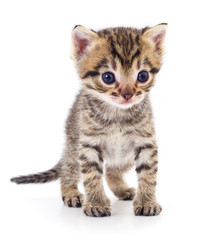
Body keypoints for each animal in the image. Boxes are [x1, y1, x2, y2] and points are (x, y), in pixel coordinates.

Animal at [10, 24, 167, 218]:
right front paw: (96, 204)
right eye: (108, 77)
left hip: (124, 157)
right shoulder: (88, 145)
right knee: (67, 171)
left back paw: (121, 190)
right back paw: (70, 192)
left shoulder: (146, 143)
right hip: (73, 148)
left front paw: (147, 202)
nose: (127, 95)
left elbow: (148, 175)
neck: (117, 115)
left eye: (143, 76)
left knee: (110, 171)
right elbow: (91, 176)